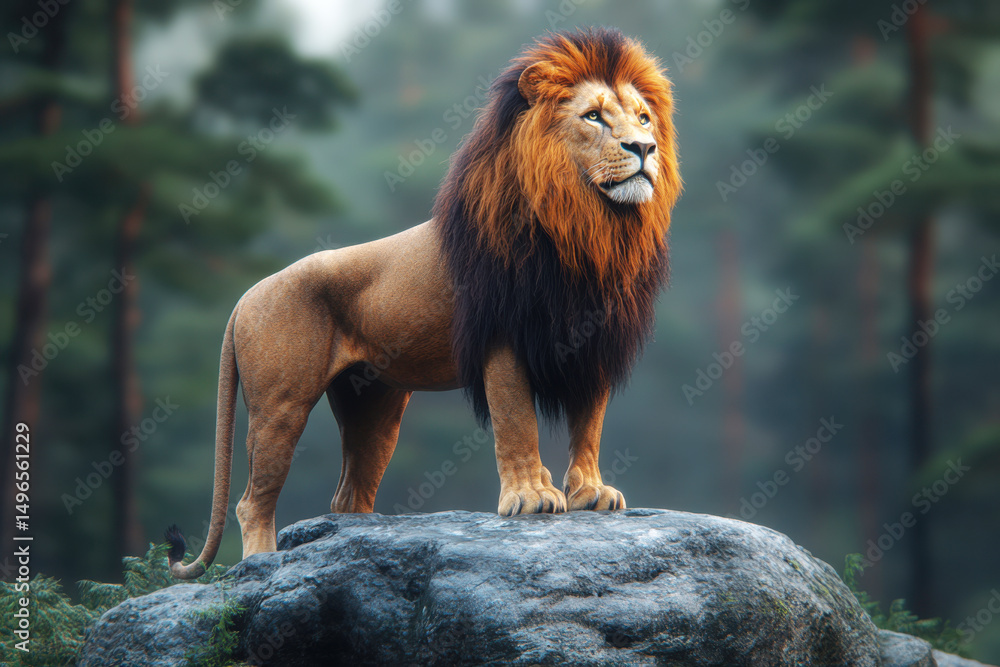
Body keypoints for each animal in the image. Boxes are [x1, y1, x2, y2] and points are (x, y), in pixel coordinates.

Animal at [167, 27, 681, 579]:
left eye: (643, 118)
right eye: (593, 116)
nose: (644, 147)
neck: (587, 230)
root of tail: (246, 295)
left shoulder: (597, 343)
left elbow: (589, 424)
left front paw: (591, 493)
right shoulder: (500, 338)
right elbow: (515, 420)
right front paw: (531, 497)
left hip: (375, 407)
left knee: (347, 496)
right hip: (279, 405)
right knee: (252, 500)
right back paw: (263, 566)